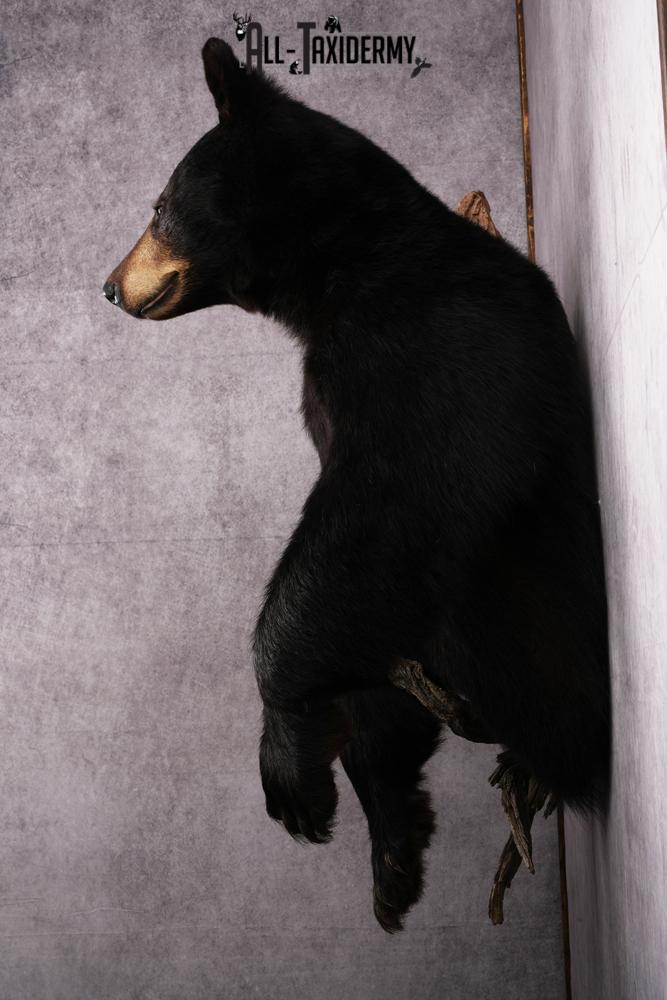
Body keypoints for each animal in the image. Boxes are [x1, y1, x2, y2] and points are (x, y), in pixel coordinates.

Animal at [103, 37, 610, 932]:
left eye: (159, 206)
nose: (106, 284)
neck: (342, 267)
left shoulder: (433, 353)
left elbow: (380, 518)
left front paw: (286, 768)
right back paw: (393, 846)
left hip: (528, 651)